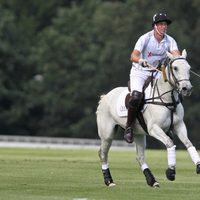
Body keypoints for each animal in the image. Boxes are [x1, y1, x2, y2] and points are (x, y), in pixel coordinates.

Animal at [96, 50, 199, 188]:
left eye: (189, 68)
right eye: (175, 68)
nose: (186, 88)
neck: (167, 99)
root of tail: (105, 96)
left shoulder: (179, 125)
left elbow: (188, 143)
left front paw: (198, 166)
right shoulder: (154, 128)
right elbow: (169, 142)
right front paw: (170, 172)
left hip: (139, 134)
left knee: (140, 157)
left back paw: (152, 181)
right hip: (107, 133)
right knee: (103, 153)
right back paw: (109, 181)